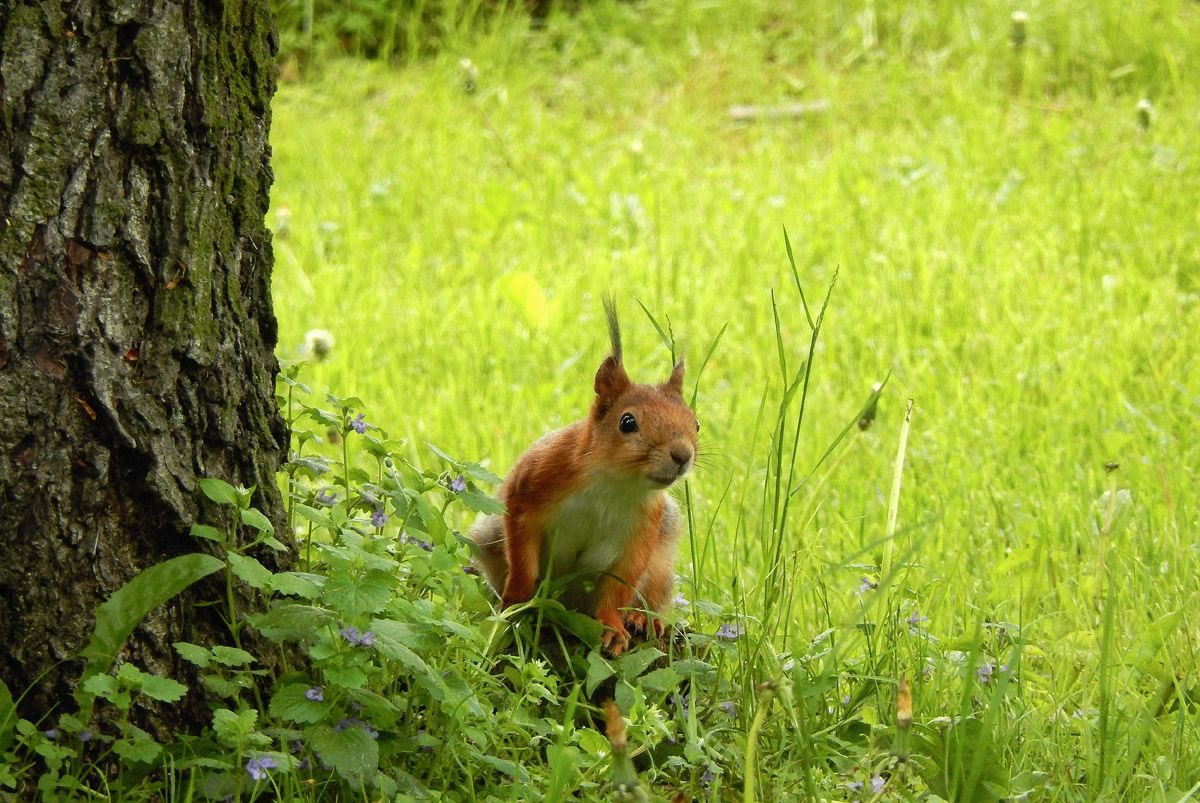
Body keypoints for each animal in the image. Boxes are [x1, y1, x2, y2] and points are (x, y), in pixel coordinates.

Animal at [465, 297, 700, 652]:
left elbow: (620, 584)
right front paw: (516, 601)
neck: (614, 485)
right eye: (627, 422)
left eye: (696, 423)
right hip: (489, 534)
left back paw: (644, 618)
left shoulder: (644, 528)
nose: (682, 455)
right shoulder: (531, 486)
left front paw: (613, 626)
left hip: (662, 559)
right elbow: (521, 555)